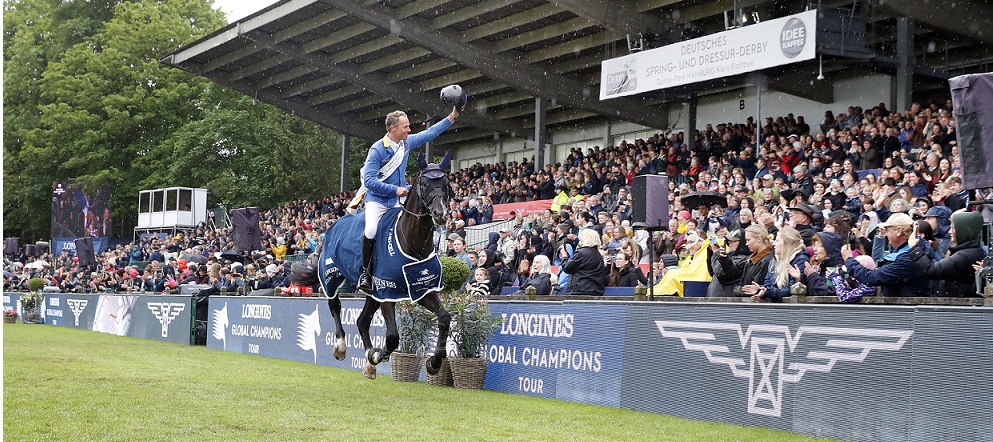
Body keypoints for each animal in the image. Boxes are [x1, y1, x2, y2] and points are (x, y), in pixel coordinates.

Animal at [318, 153, 454, 380]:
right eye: (424, 184)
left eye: (446, 183)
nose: (440, 214)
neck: (411, 243)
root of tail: (334, 224)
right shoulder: (387, 290)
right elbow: (392, 337)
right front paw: (376, 355)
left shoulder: (422, 288)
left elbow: (444, 317)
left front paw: (434, 362)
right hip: (331, 276)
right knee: (335, 305)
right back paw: (341, 347)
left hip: (372, 294)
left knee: (362, 321)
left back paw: (369, 365)